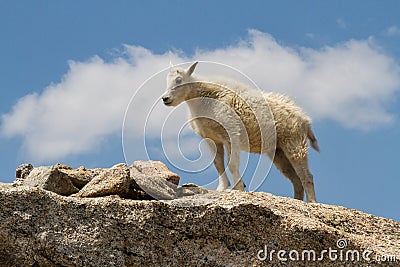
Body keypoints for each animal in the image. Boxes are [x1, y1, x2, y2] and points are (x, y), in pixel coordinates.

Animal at [161, 61, 320, 203]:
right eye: (167, 80)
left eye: (179, 80)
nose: (165, 99)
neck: (203, 101)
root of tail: (306, 120)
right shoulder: (211, 138)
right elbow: (218, 163)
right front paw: (222, 188)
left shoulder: (231, 133)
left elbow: (232, 164)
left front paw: (239, 187)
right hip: (279, 151)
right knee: (295, 179)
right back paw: (297, 200)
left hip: (294, 142)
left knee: (306, 176)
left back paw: (312, 202)